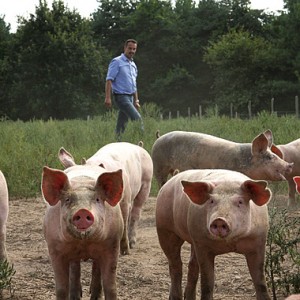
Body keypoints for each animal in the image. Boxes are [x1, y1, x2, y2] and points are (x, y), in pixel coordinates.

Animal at [41, 164, 124, 300]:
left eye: (97, 199)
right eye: (68, 199)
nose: (83, 211)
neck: (84, 243)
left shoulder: (112, 244)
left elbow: (110, 286)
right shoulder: (54, 247)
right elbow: (61, 288)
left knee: (96, 269)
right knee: (75, 269)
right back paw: (76, 295)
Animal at [151, 129, 292, 188]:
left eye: (276, 155)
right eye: (269, 157)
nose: (289, 164)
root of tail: (159, 137)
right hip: (158, 165)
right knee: (160, 181)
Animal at [157, 169, 272, 300]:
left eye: (240, 202)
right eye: (212, 201)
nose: (219, 220)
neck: (230, 242)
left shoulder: (259, 242)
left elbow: (260, 282)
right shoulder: (202, 244)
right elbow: (207, 283)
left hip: (192, 240)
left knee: (192, 266)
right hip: (165, 229)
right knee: (175, 265)